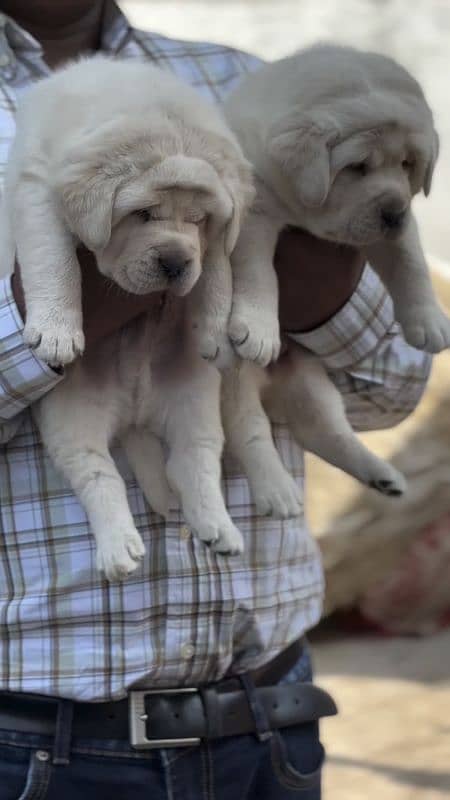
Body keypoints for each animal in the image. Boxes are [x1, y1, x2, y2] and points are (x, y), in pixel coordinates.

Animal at [3, 57, 255, 580]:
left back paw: (219, 528)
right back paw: (119, 548)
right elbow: (52, 259)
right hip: (73, 417)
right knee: (98, 475)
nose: (176, 263)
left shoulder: (220, 231)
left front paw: (216, 331)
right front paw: (56, 332)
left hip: (194, 399)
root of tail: (135, 413)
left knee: (195, 460)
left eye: (198, 219)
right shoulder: (38, 188)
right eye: (142, 213)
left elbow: (218, 266)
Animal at [220, 45, 444, 506]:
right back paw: (276, 491)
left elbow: (409, 260)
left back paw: (382, 477)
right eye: (357, 166)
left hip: (310, 383)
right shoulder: (254, 214)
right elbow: (258, 273)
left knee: (325, 432)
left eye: (408, 164)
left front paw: (428, 321)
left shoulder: (393, 228)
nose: (393, 212)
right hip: (232, 381)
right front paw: (259, 329)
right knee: (248, 433)